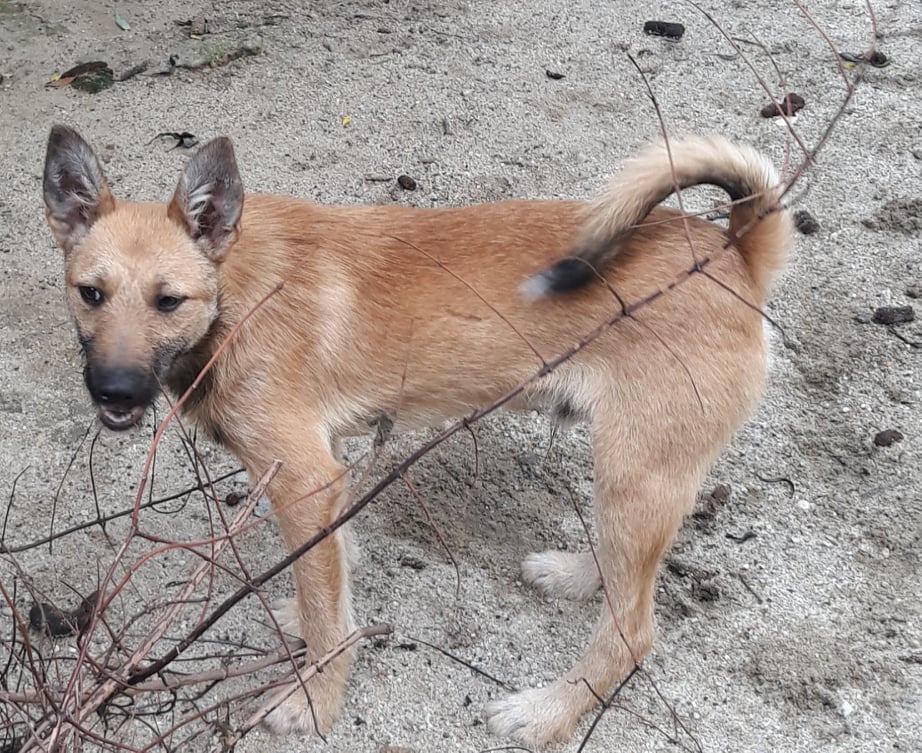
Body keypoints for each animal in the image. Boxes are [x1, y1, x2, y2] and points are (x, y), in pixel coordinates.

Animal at [43, 123, 788, 748]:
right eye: (90, 293)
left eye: (168, 301)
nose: (114, 392)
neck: (232, 293)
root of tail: (734, 249)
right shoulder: (324, 473)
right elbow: (332, 577)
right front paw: (309, 617)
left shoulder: (303, 481)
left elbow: (330, 619)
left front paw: (314, 701)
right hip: (637, 480)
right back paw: (579, 575)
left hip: (635, 475)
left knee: (631, 633)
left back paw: (546, 712)